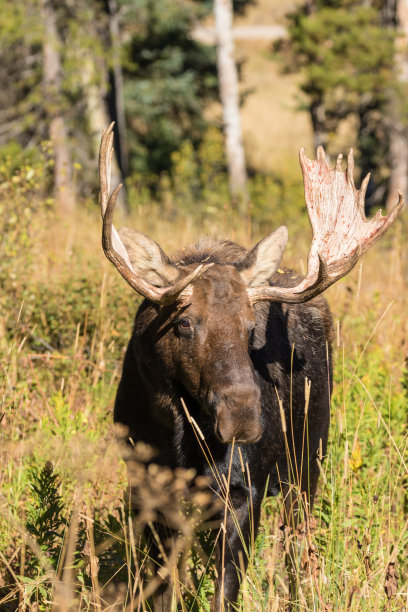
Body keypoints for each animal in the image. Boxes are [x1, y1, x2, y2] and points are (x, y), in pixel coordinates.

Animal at [98, 122, 402, 608]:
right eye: (183, 322)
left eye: (249, 327)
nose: (241, 415)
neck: (180, 441)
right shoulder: (146, 489)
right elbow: (163, 589)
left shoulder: (246, 491)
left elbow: (226, 592)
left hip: (308, 463)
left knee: (299, 547)